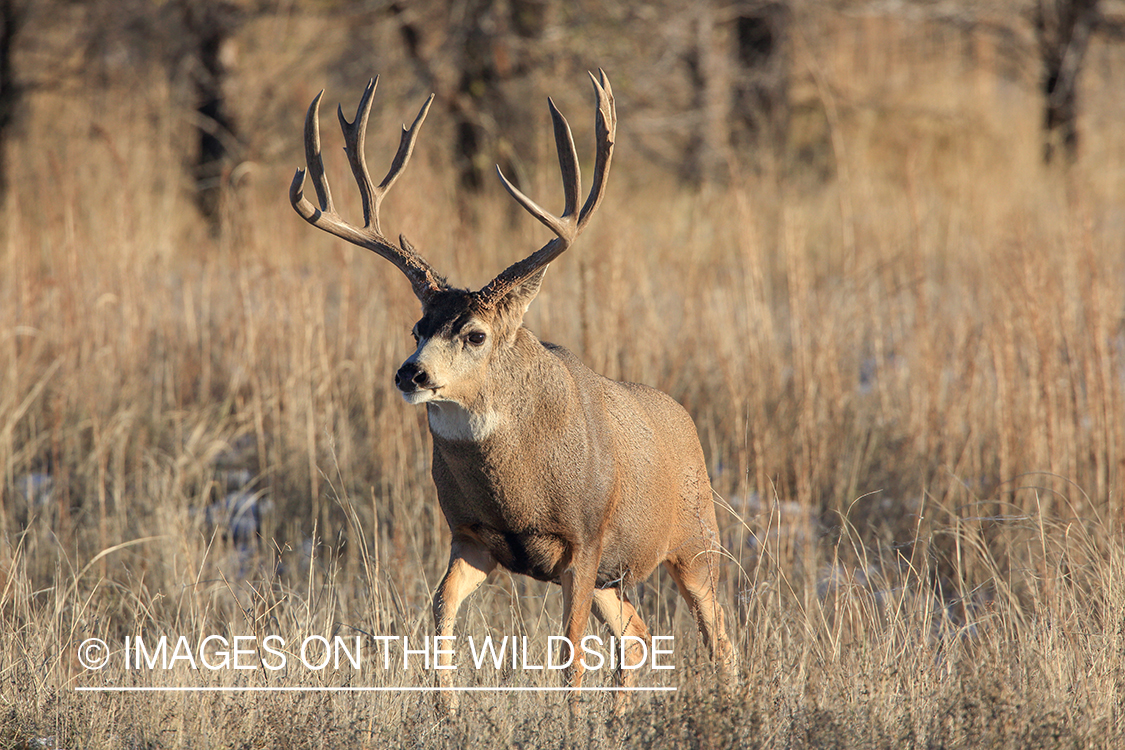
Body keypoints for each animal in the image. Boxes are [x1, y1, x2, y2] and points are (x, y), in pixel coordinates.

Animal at [285, 70, 733, 706]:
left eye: (474, 334)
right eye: (418, 326)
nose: (411, 373)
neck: (517, 487)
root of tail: (683, 416)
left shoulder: (584, 539)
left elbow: (570, 654)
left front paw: (570, 717)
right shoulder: (470, 535)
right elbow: (440, 610)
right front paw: (445, 707)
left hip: (697, 541)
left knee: (719, 636)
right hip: (621, 573)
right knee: (638, 634)